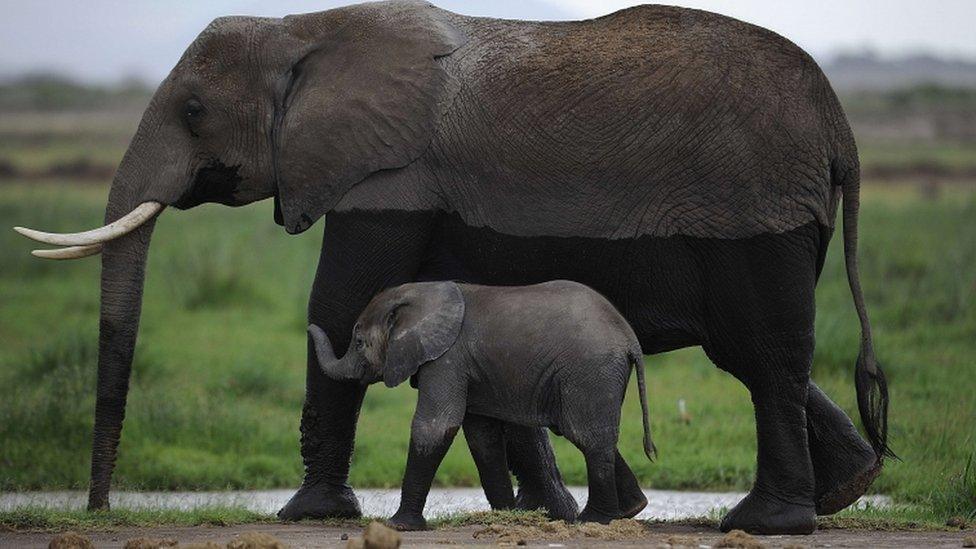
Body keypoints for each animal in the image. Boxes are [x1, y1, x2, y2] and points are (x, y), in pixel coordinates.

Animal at [310, 280, 656, 528]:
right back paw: (630, 509)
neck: (420, 293)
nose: (311, 325)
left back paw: (593, 521)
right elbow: (481, 437)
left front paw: (398, 526)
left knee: (585, 434)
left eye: (358, 343)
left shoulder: (447, 359)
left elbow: (436, 427)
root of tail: (630, 339)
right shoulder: (467, 367)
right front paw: (507, 516)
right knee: (587, 433)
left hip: (589, 371)